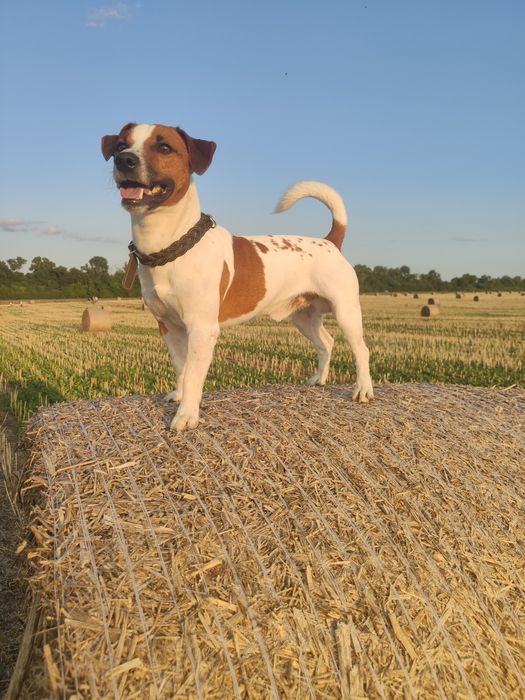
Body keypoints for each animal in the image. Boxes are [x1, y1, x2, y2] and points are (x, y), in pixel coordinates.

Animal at [101, 123, 374, 431]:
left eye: (164, 147)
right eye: (121, 145)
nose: (124, 160)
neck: (169, 247)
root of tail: (330, 241)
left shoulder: (202, 327)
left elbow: (194, 374)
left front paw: (186, 415)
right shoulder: (168, 326)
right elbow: (181, 368)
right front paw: (179, 397)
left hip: (346, 311)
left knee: (361, 350)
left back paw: (363, 390)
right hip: (304, 317)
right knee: (326, 343)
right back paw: (319, 379)